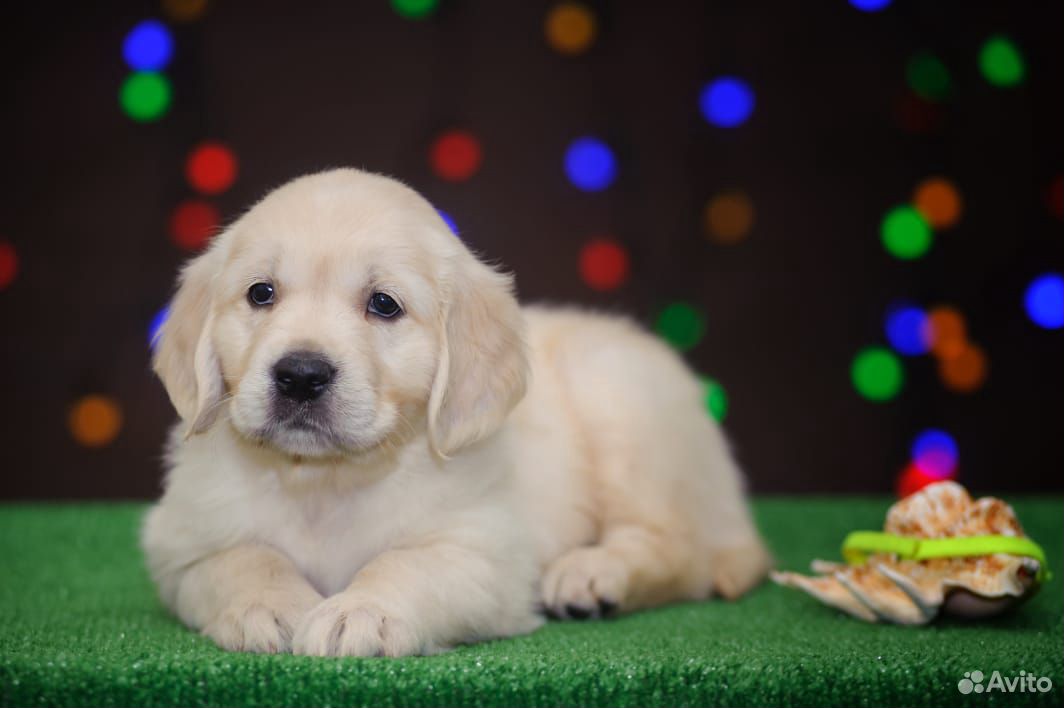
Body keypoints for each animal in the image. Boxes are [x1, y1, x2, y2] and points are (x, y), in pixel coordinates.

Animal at [143, 168, 774, 655]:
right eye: (261, 293)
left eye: (383, 304)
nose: (300, 374)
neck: (326, 481)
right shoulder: (180, 545)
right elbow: (244, 557)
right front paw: (271, 606)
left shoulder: (485, 553)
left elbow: (407, 565)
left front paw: (362, 612)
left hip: (622, 407)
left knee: (681, 550)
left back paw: (591, 574)